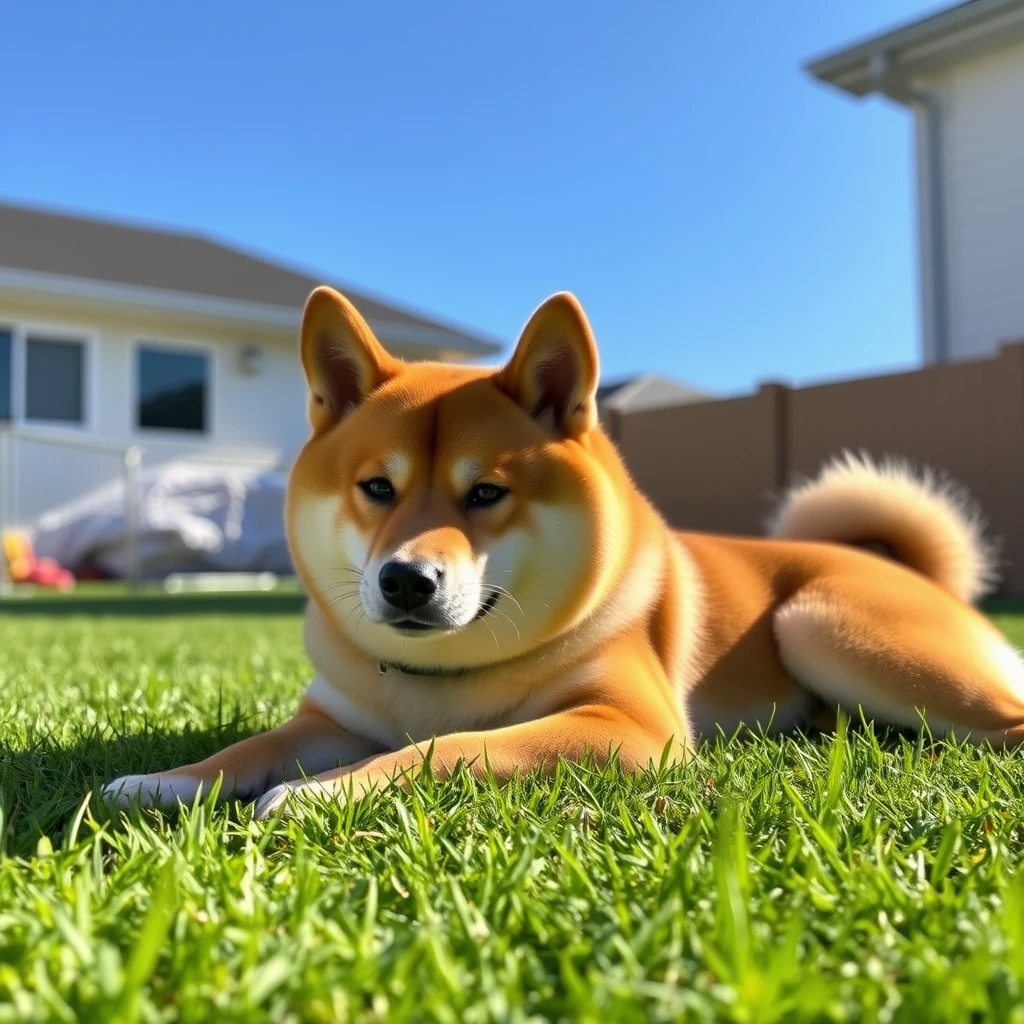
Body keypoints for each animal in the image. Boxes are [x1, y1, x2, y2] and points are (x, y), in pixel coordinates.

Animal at [103, 286, 1024, 815]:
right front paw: (167, 780)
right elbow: (249, 747)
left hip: (821, 623)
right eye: (377, 488)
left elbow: (451, 749)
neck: (446, 676)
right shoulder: (329, 718)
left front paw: (324, 793)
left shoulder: (626, 724)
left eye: (486, 493)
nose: (406, 580)